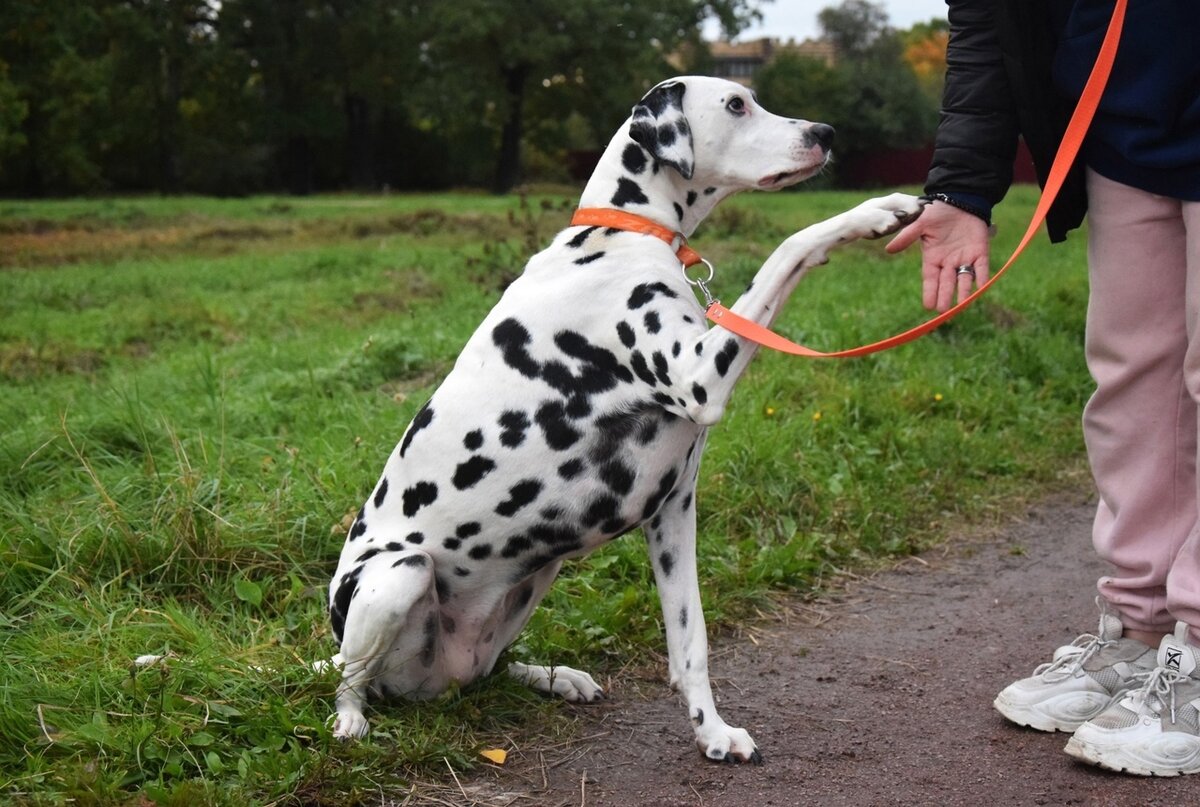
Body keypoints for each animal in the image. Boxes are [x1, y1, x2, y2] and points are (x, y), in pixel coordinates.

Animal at [324, 75, 921, 763]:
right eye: (736, 104)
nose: (825, 134)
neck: (620, 237)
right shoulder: (701, 377)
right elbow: (789, 247)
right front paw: (872, 211)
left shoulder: (675, 510)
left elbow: (690, 641)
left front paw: (712, 732)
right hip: (399, 573)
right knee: (351, 677)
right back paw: (350, 719)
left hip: (538, 570)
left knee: (486, 671)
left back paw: (554, 677)